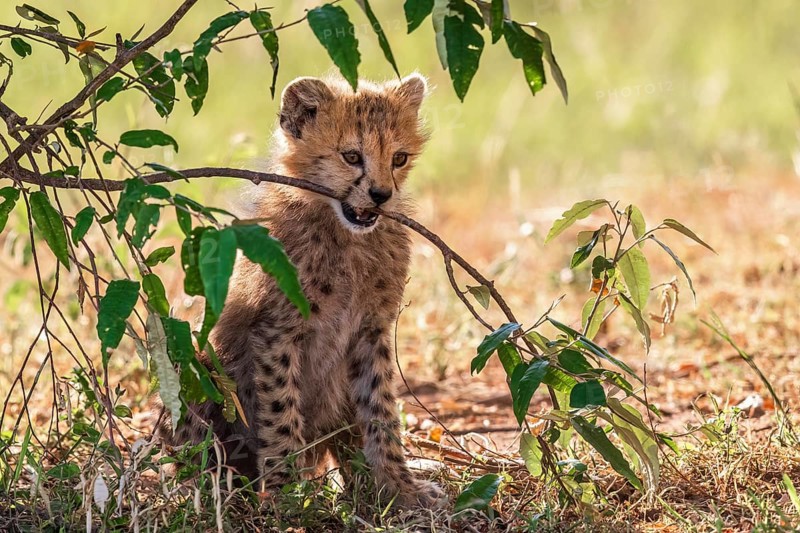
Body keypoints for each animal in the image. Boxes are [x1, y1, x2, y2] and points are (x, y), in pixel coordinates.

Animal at [156, 73, 444, 509]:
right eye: (351, 156)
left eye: (399, 158)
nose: (381, 195)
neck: (345, 234)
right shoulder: (276, 331)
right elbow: (280, 411)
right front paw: (284, 494)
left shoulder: (371, 330)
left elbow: (380, 409)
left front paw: (398, 487)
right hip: (195, 365)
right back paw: (213, 492)